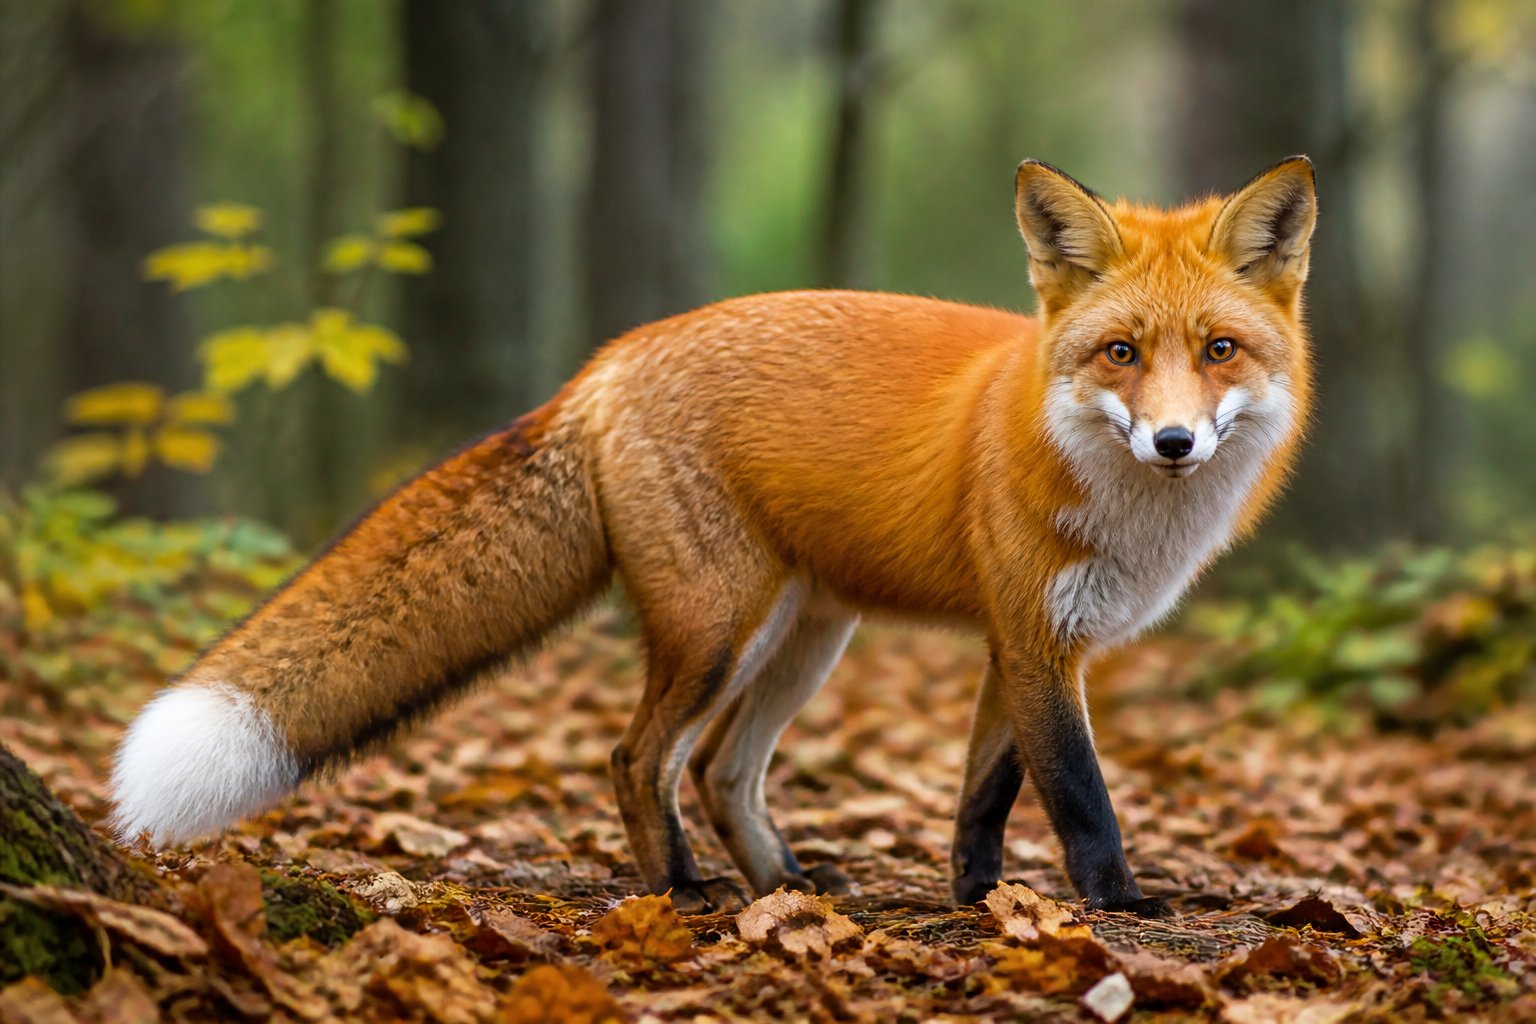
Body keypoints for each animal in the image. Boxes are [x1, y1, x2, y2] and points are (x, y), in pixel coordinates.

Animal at [110, 156, 1316, 917]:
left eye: (1219, 349)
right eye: (1120, 353)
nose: (1173, 441)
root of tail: (603, 365)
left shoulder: (1025, 646)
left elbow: (983, 798)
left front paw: (978, 899)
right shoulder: (1034, 642)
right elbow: (1079, 798)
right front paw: (1119, 905)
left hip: (802, 639)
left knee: (721, 768)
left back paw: (780, 886)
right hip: (715, 629)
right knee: (639, 756)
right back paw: (680, 889)